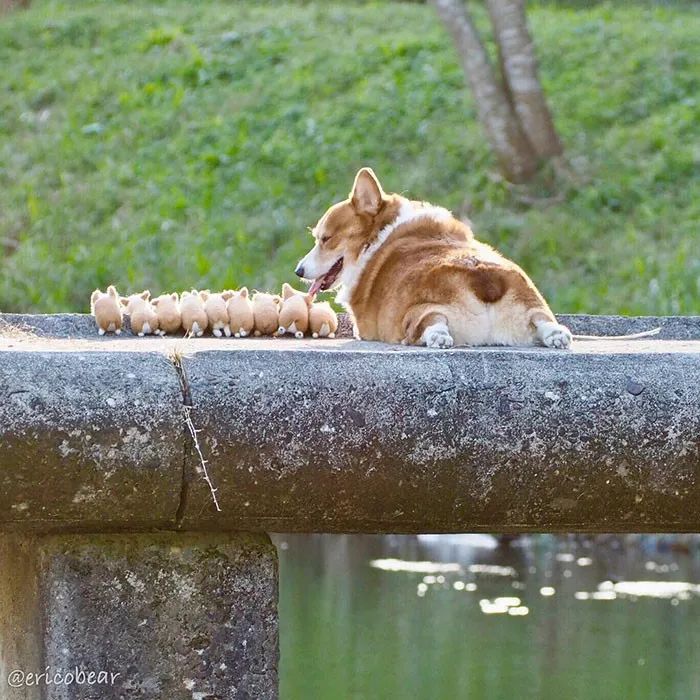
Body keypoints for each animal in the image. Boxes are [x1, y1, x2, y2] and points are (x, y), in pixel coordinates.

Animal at [296, 167, 576, 348]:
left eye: (324, 239)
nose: (298, 270)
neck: (379, 235)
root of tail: (485, 279)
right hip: (531, 301)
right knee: (542, 318)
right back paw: (556, 335)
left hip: (418, 311)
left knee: (430, 323)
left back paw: (437, 337)